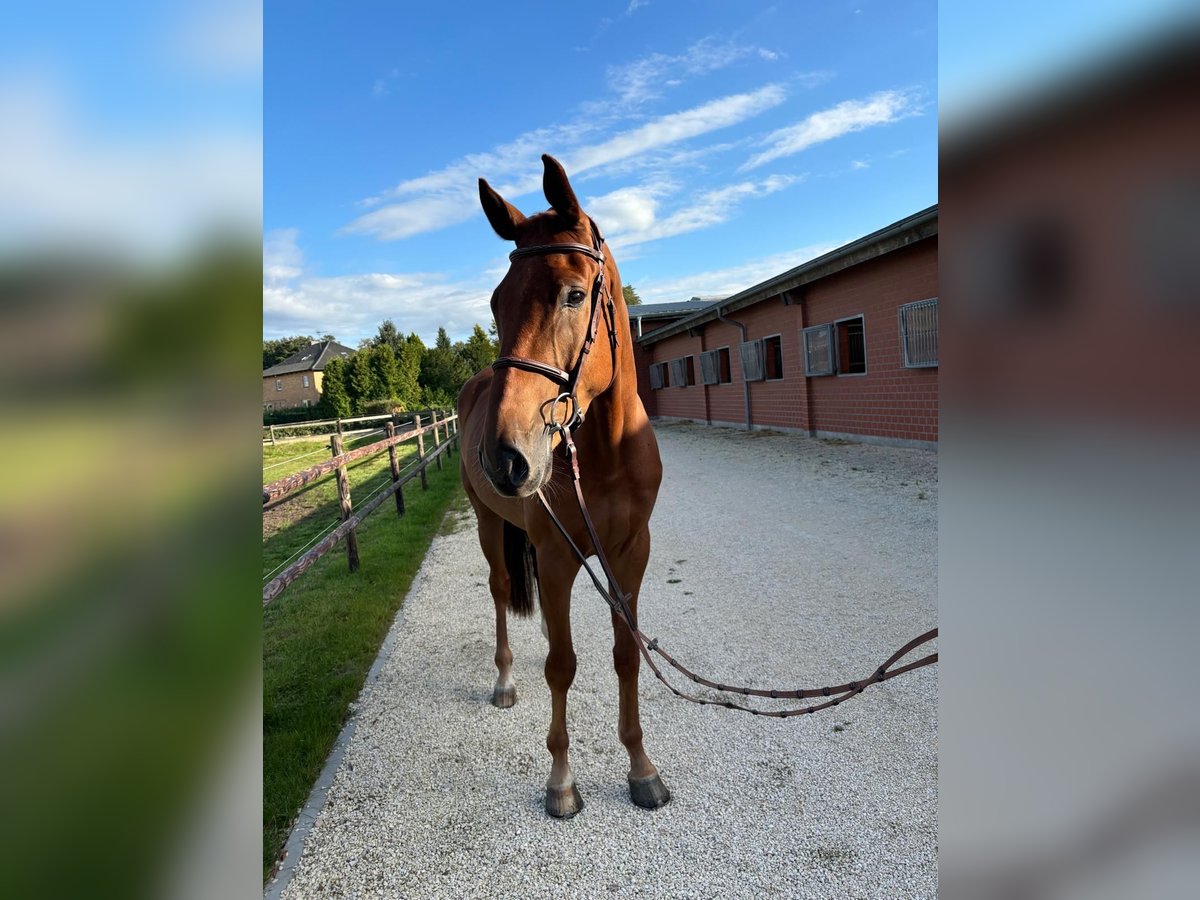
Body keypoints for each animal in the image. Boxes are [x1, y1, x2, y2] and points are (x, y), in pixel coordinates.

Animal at [458, 157, 672, 825]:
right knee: (502, 590)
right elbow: (562, 667)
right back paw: (504, 680)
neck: (605, 452)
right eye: (496, 302)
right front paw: (561, 781)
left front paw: (642, 769)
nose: (504, 457)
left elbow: (625, 653)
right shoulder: (555, 556)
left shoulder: (630, 553)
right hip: (488, 525)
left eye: (574, 294)